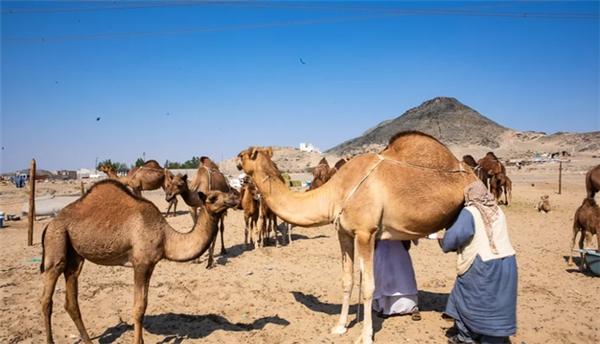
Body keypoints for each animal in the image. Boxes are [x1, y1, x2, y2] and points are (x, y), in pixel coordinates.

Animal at [38, 179, 240, 344]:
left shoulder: (150, 265)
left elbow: (144, 305)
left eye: (225, 193)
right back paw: (50, 340)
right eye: (213, 197)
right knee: (47, 297)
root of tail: (49, 224)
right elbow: (138, 308)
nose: (234, 196)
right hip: (56, 241)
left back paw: (88, 341)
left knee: (71, 300)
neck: (166, 237)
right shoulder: (140, 264)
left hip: (75, 256)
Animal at [237, 130, 476, 342]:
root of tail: (471, 172)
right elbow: (347, 280)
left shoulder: (365, 232)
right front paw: (340, 326)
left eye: (244, 154)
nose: (237, 162)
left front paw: (366, 335)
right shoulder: (343, 232)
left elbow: (369, 286)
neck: (335, 192)